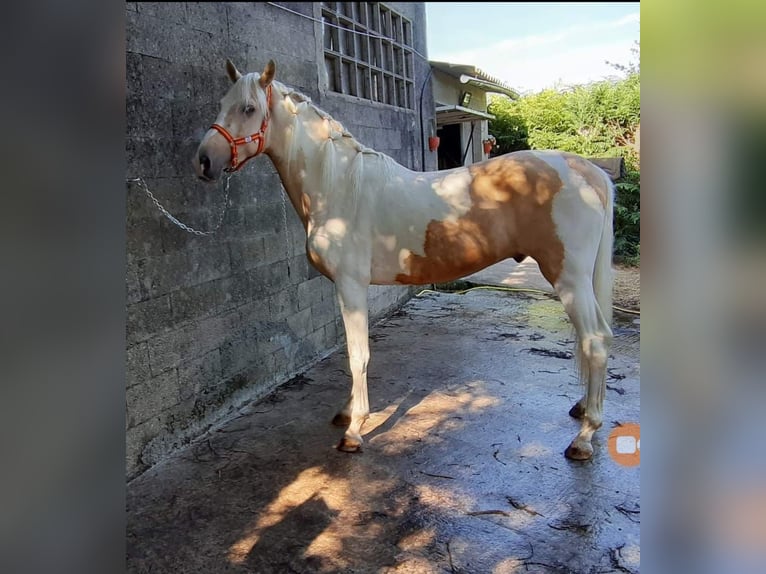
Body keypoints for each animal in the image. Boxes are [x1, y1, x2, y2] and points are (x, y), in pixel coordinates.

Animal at [195, 59, 616, 464]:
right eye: (222, 103)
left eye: (248, 108)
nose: (204, 161)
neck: (338, 186)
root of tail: (586, 170)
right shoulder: (343, 289)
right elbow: (353, 351)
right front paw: (348, 413)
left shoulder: (352, 285)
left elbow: (358, 354)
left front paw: (355, 429)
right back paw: (582, 410)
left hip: (569, 279)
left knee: (594, 340)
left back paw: (584, 438)